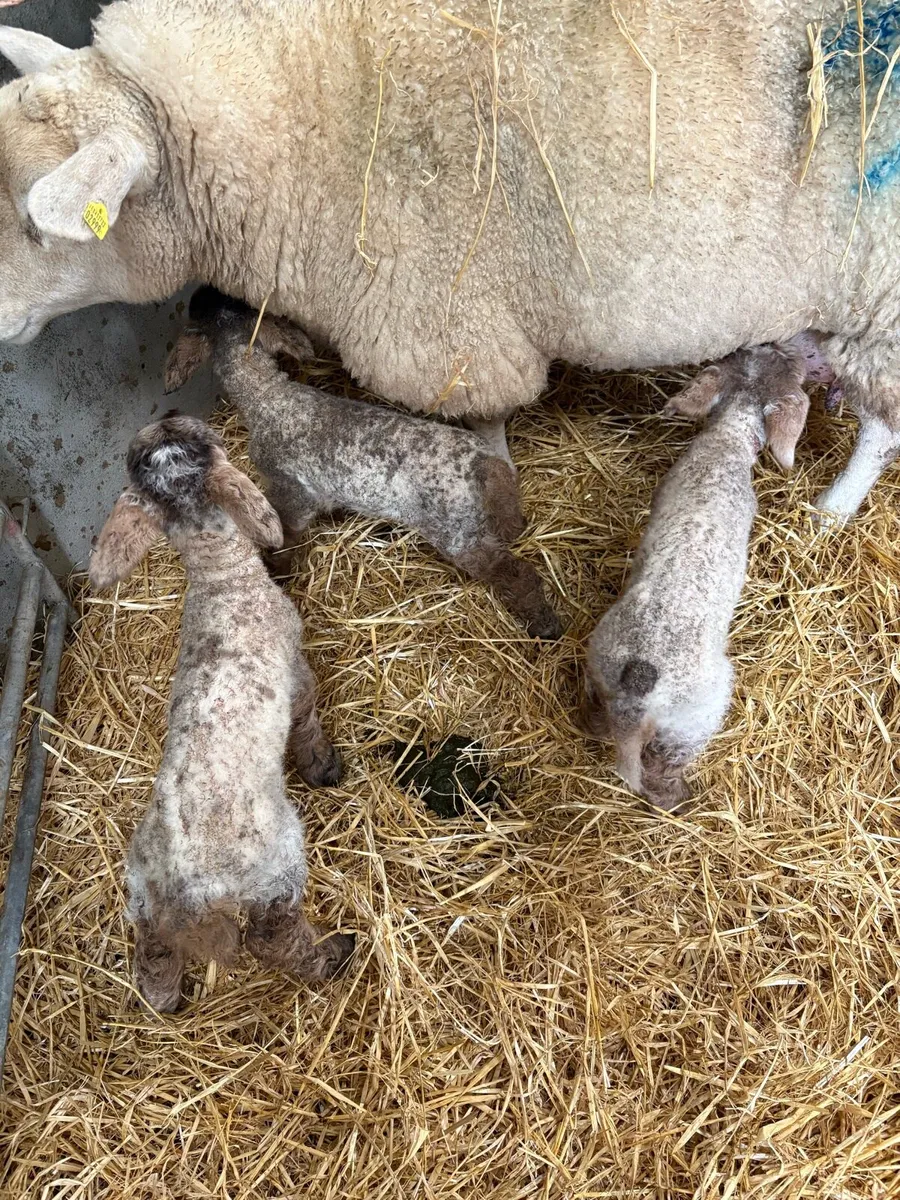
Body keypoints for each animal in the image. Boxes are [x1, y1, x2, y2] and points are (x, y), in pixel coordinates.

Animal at [0, 2, 894, 516]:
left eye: (40, 224)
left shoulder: (452, 341)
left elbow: (485, 419)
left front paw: (488, 470)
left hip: (878, 300)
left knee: (882, 431)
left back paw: (834, 509)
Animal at [89, 413, 353, 1011]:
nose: (167, 417)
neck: (222, 581)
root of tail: (186, 892)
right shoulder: (297, 670)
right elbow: (306, 721)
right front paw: (324, 767)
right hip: (275, 870)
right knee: (271, 939)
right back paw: (333, 955)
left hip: (141, 896)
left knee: (153, 950)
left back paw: (165, 999)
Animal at [163, 287, 563, 640]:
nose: (199, 291)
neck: (266, 396)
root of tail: (484, 463)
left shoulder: (290, 489)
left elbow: (284, 534)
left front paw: (279, 573)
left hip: (457, 529)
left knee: (516, 573)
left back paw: (545, 625)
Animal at [582, 338, 818, 811]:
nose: (788, 346)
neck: (728, 440)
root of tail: (638, 692)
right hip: (698, 716)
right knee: (664, 767)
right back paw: (680, 799)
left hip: (598, 670)